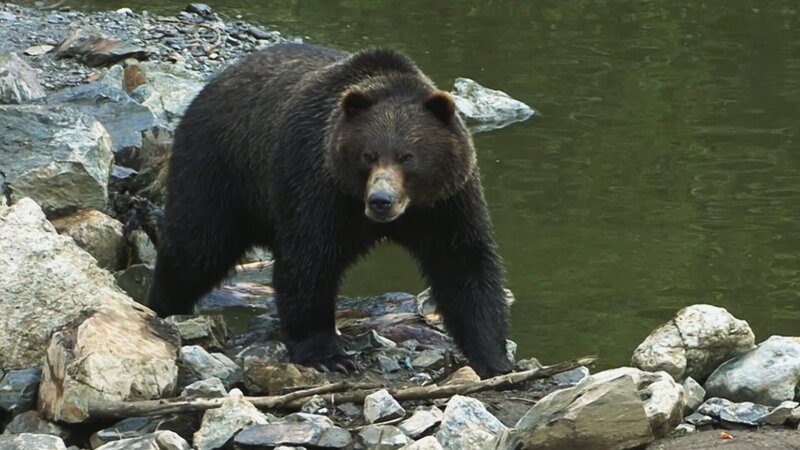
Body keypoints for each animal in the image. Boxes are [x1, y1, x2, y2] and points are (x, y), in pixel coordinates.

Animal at [149, 42, 512, 378]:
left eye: (408, 156)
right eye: (368, 154)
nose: (380, 200)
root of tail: (214, 84)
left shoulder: (445, 204)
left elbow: (463, 265)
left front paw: (493, 359)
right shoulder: (319, 184)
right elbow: (308, 262)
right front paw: (329, 355)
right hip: (219, 168)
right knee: (196, 246)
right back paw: (163, 305)